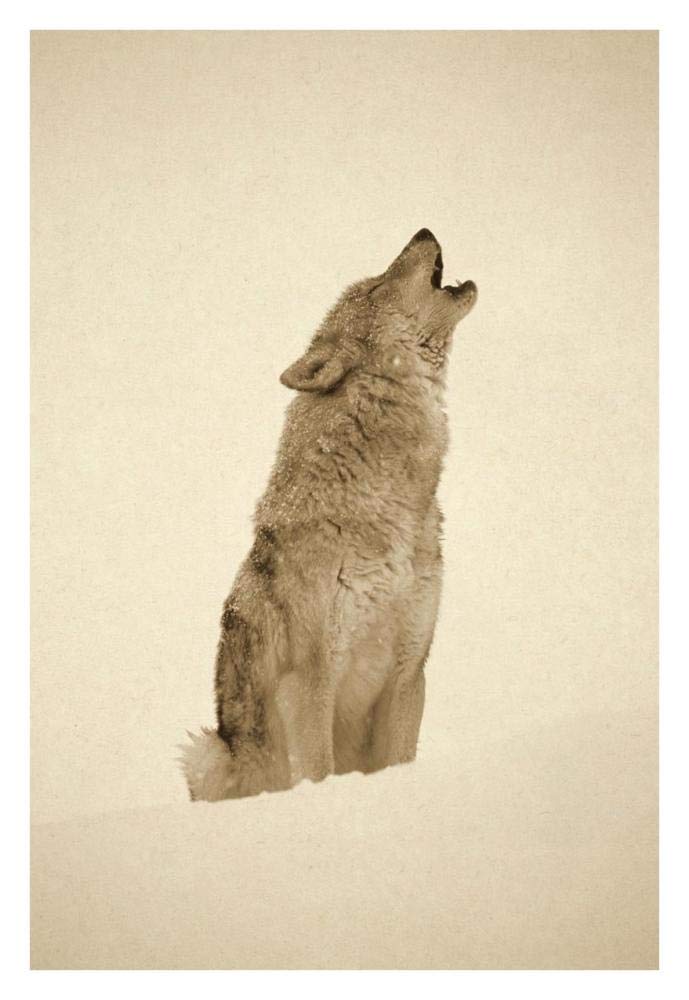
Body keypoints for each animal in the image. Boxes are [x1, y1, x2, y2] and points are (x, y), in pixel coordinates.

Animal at [181, 229, 477, 801]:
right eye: (377, 285)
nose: (423, 231)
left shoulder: (410, 672)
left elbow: (400, 759)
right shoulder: (309, 681)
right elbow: (317, 769)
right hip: (206, 752)